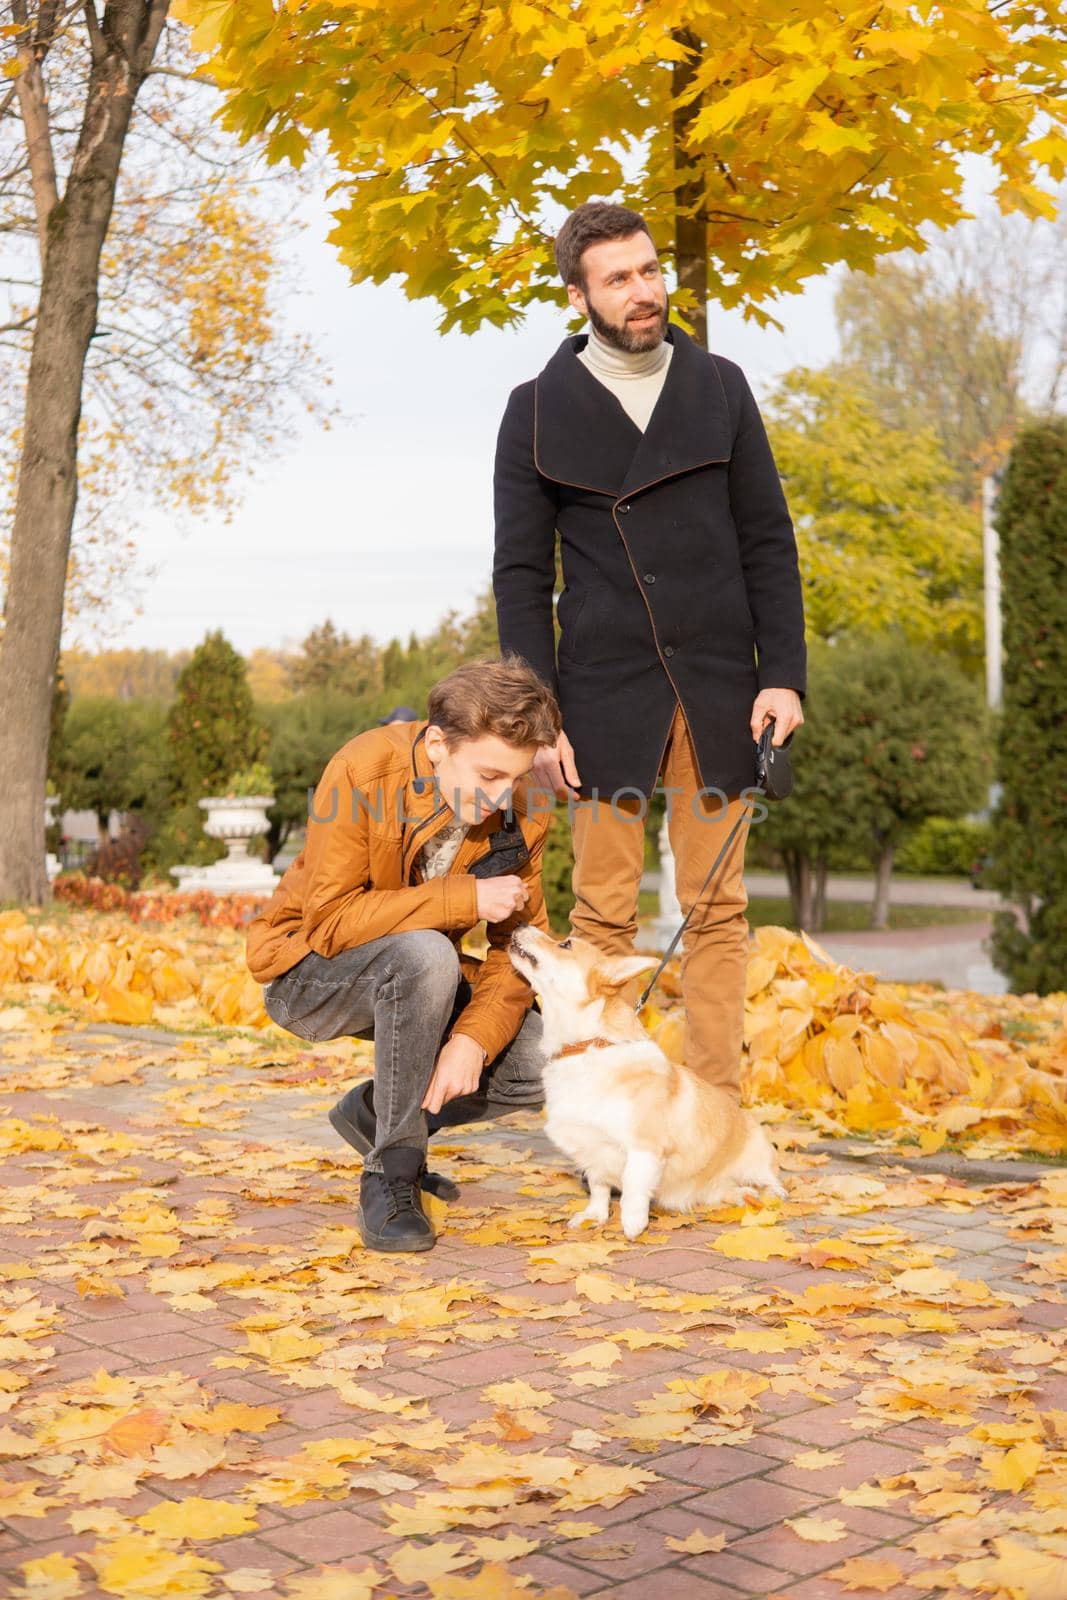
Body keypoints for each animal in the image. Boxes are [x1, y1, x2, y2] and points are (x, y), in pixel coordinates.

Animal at [505, 921, 790, 1241]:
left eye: (565, 944)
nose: (520, 923)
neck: (588, 1045)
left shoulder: (644, 1148)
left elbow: (632, 1186)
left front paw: (632, 1222)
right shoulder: (593, 1149)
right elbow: (599, 1187)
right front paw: (595, 1216)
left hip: (756, 1156)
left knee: (770, 1180)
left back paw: (772, 1194)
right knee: (738, 1190)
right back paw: (742, 1195)